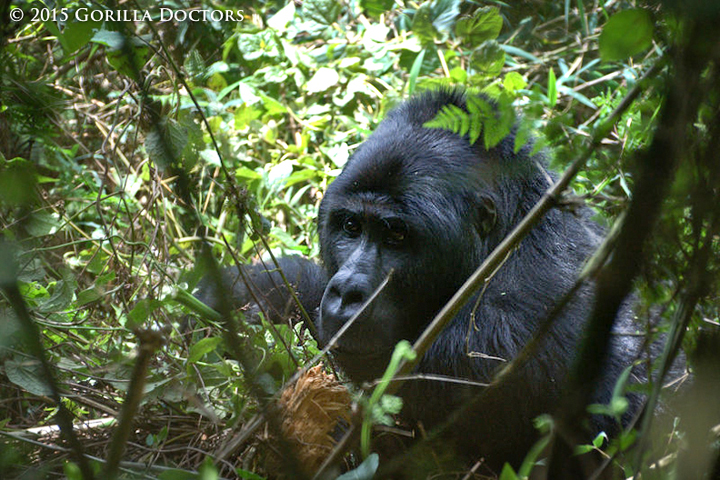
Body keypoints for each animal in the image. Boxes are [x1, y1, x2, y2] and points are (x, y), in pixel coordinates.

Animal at [195, 89, 640, 472]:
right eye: (351, 226)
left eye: (397, 235)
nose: (347, 293)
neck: (512, 234)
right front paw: (221, 298)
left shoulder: (493, 341)